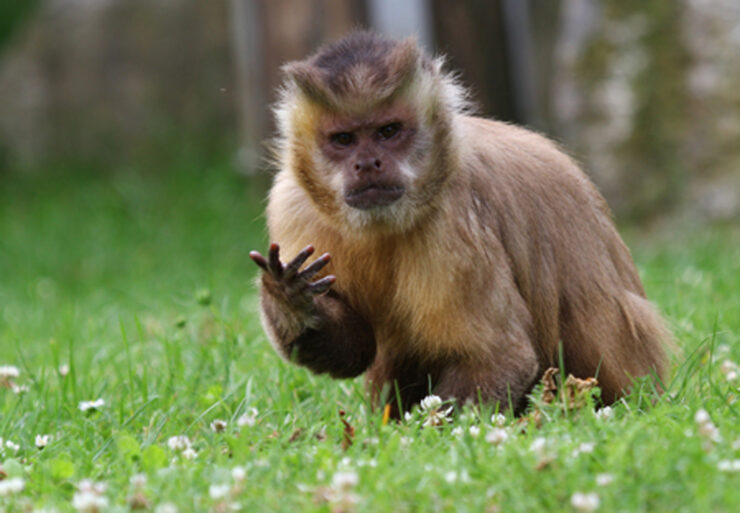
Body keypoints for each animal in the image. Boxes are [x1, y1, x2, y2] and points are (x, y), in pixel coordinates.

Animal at [249, 31, 672, 416]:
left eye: (388, 131)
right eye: (344, 139)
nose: (367, 163)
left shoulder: (453, 220)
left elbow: (501, 355)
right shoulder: (292, 205)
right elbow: (356, 349)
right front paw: (291, 298)